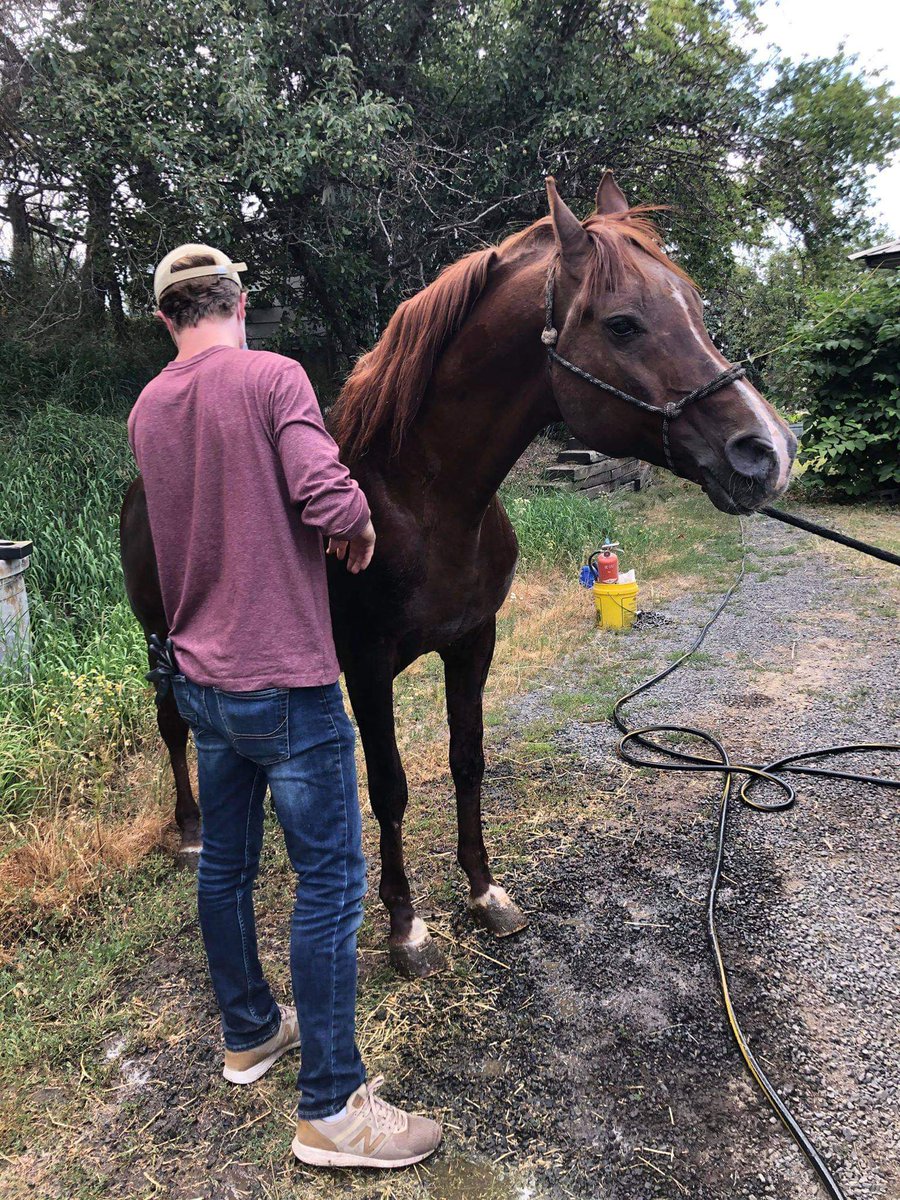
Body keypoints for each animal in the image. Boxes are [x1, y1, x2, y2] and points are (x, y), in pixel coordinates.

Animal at [120, 173, 796, 977]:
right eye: (624, 324)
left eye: (694, 306)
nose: (769, 450)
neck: (422, 501)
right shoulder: (367, 665)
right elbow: (389, 788)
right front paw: (405, 927)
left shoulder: (473, 642)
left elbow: (467, 762)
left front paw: (484, 892)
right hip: (160, 640)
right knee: (174, 727)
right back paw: (191, 830)